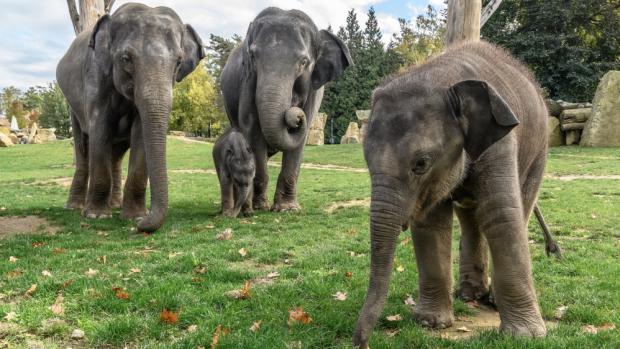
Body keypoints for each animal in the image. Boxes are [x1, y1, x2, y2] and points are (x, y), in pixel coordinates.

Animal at [56, 3, 205, 231]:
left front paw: (133, 217)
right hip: (73, 107)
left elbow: (140, 131)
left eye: (179, 61)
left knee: (116, 155)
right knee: (82, 146)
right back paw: (75, 207)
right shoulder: (96, 77)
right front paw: (96, 216)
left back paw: (115, 205)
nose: (142, 225)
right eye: (126, 58)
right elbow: (100, 129)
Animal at [220, 6, 352, 211]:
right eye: (253, 56)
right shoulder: (247, 82)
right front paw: (261, 207)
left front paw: (287, 209)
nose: (295, 115)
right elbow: (253, 130)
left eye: (304, 62)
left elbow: (300, 140)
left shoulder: (314, 92)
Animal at [354, 40, 548, 346]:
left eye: (421, 163)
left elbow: (502, 217)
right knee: (471, 216)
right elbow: (431, 222)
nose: (360, 343)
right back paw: (469, 294)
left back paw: (490, 300)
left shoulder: (500, 142)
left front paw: (525, 336)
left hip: (540, 151)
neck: (443, 79)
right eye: (367, 162)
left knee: (519, 206)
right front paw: (430, 322)